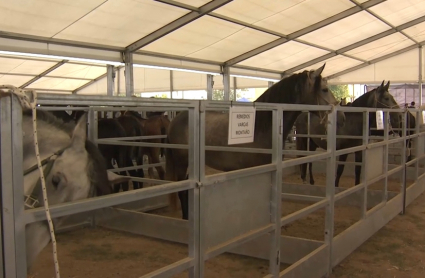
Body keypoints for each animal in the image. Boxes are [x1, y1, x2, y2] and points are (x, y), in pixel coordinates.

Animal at [164, 63, 346, 219]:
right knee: (182, 191)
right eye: (324, 89)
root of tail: (175, 120)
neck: (261, 126)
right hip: (181, 163)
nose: (342, 117)